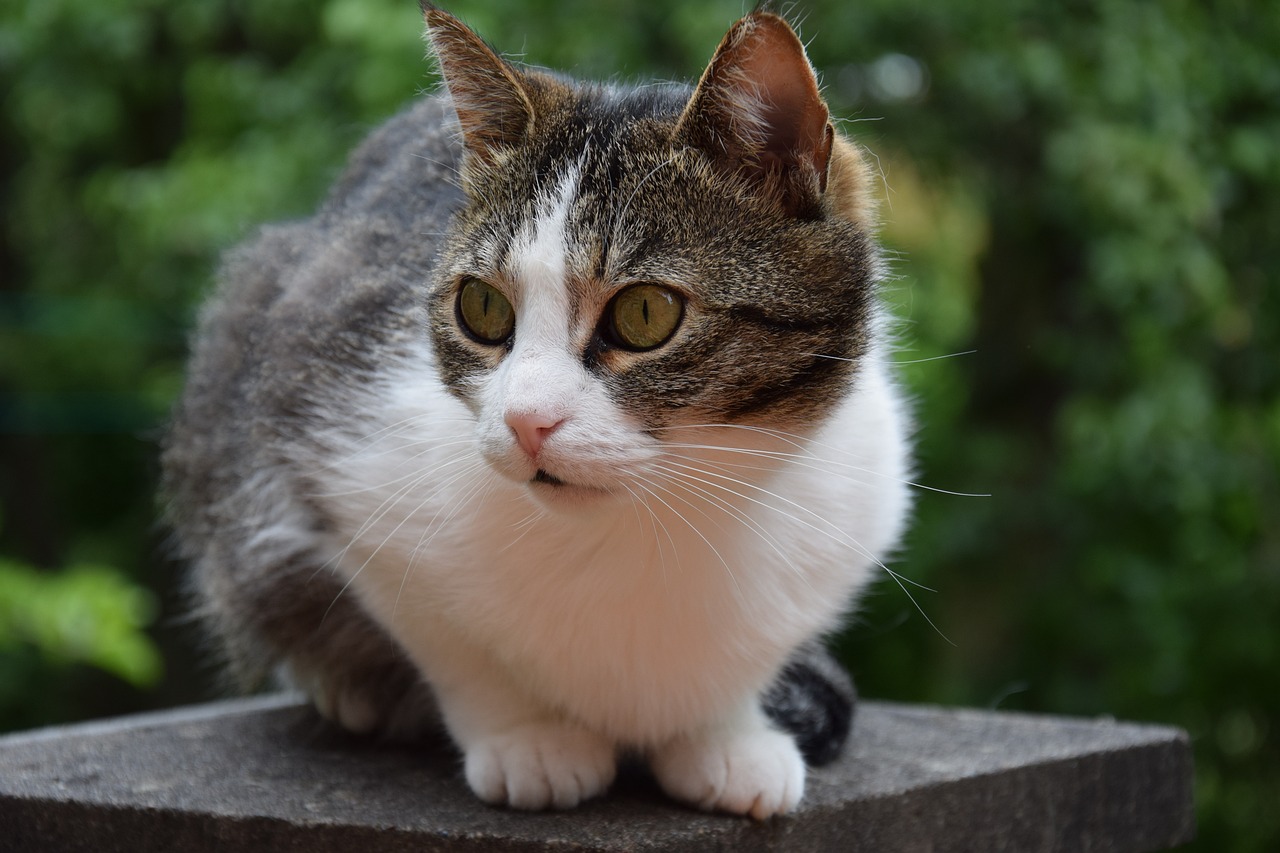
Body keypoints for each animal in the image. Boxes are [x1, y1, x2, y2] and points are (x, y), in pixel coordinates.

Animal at [162, 1, 911, 819]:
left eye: (646, 313)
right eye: (482, 307)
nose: (526, 421)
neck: (650, 523)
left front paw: (725, 735)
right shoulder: (340, 452)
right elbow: (451, 645)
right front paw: (530, 739)